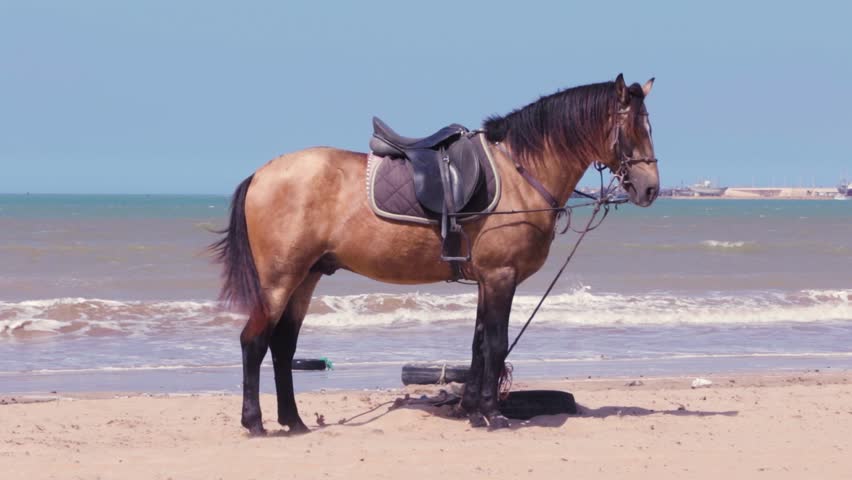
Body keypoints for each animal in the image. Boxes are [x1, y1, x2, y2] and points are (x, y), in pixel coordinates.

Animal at [211, 74, 660, 435]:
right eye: (632, 129)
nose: (651, 188)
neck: (519, 174)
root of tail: (262, 174)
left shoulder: (486, 281)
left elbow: (479, 346)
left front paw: (472, 410)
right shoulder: (501, 276)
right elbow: (496, 344)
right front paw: (494, 415)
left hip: (306, 276)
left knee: (283, 345)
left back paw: (294, 420)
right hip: (279, 279)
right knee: (254, 341)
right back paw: (254, 422)